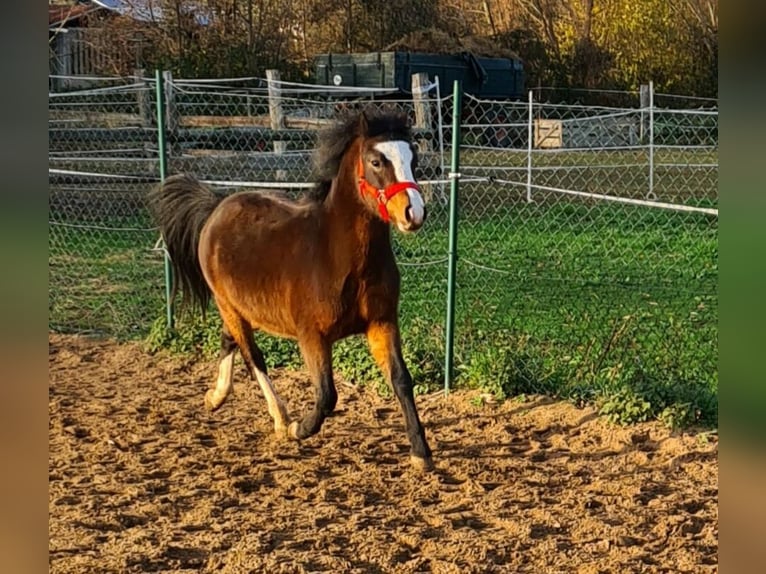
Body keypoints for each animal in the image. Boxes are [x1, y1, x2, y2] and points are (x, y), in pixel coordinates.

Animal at [149, 108, 436, 472]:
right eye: (376, 161)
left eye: (413, 157)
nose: (414, 213)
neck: (340, 258)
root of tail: (217, 206)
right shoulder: (312, 335)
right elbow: (327, 395)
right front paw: (299, 428)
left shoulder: (381, 323)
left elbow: (401, 379)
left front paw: (420, 452)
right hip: (228, 304)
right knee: (253, 356)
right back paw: (281, 419)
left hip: (241, 308)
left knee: (228, 338)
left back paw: (215, 397)